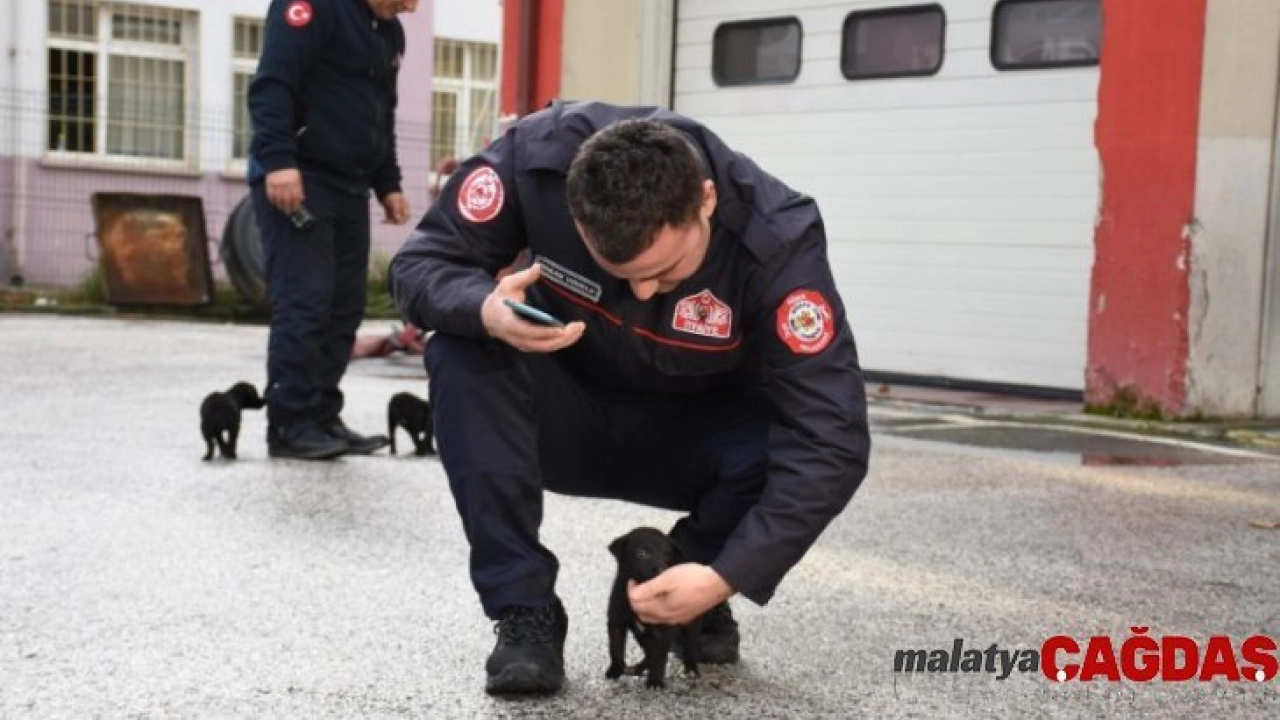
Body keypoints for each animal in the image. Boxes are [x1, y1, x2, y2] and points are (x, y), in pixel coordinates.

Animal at [605, 527, 702, 688]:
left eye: (667, 554)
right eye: (642, 553)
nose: (662, 569)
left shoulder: (664, 627)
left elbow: (659, 656)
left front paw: (655, 681)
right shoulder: (616, 621)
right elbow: (615, 648)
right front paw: (615, 670)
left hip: (689, 622)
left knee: (689, 646)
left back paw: (691, 669)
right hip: (642, 633)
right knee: (649, 652)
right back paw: (639, 667)